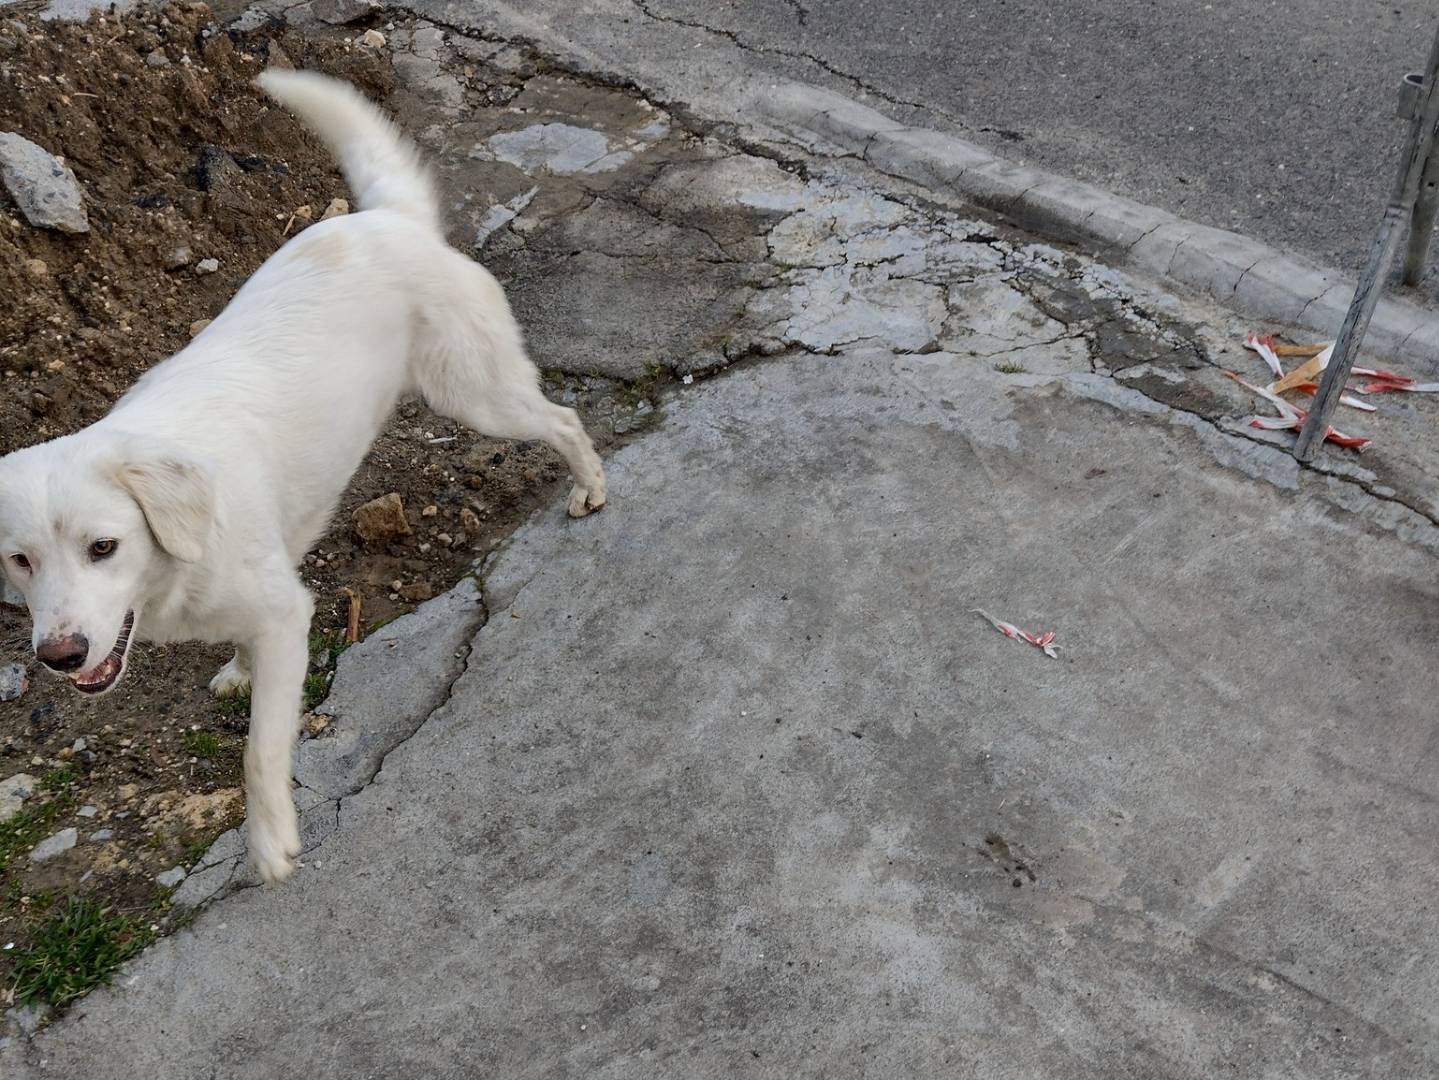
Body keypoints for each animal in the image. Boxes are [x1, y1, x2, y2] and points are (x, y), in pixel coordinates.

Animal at [0, 71, 607, 891]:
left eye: (103, 547)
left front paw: (269, 841)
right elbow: (243, 652)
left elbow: (260, 753)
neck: (178, 557)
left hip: (476, 395)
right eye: (20, 560)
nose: (58, 657)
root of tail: (388, 218)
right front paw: (235, 668)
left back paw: (589, 485)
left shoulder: (289, 617)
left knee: (564, 420)